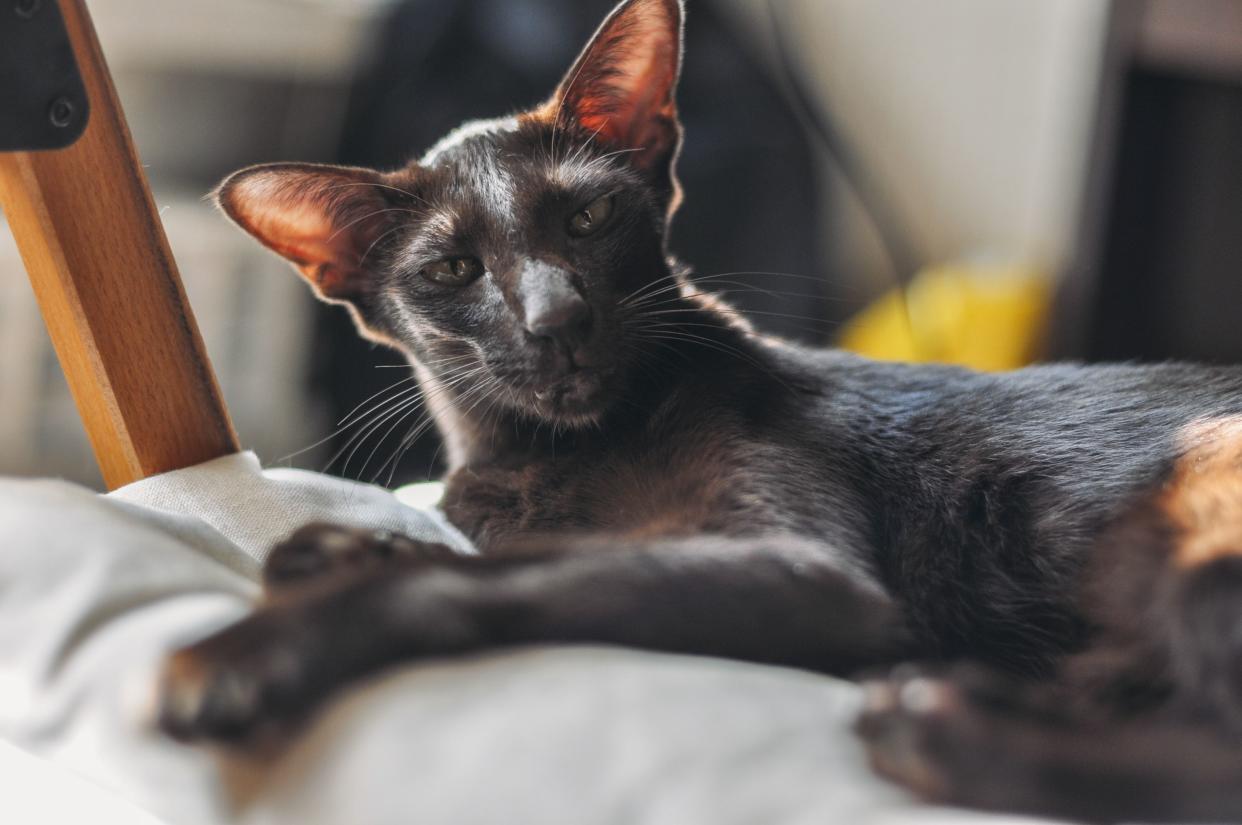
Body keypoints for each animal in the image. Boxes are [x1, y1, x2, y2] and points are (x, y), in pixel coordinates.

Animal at [160, 3, 1242, 820]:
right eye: (452, 270)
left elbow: (512, 575)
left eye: (589, 217)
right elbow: (509, 550)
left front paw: (259, 644)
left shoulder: (804, 567)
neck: (552, 454)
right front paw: (336, 549)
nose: (556, 317)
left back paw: (938, 730)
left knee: (1205, 762)